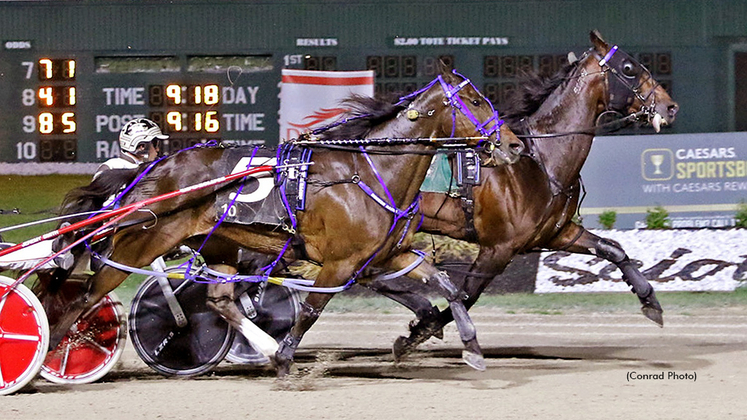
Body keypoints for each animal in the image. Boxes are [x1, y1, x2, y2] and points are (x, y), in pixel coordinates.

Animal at [45, 69, 520, 378]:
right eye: (475, 101)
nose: (513, 144)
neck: (369, 173)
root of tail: (151, 170)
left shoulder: (389, 255)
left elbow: (449, 288)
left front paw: (472, 348)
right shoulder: (340, 264)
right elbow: (310, 311)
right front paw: (287, 356)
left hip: (219, 247)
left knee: (220, 300)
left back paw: (264, 343)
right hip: (138, 243)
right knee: (85, 297)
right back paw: (51, 351)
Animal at [374, 30, 676, 358]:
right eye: (629, 68)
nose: (670, 106)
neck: (539, 159)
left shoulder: (557, 234)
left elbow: (613, 249)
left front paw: (650, 300)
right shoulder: (497, 249)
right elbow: (466, 295)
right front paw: (418, 334)